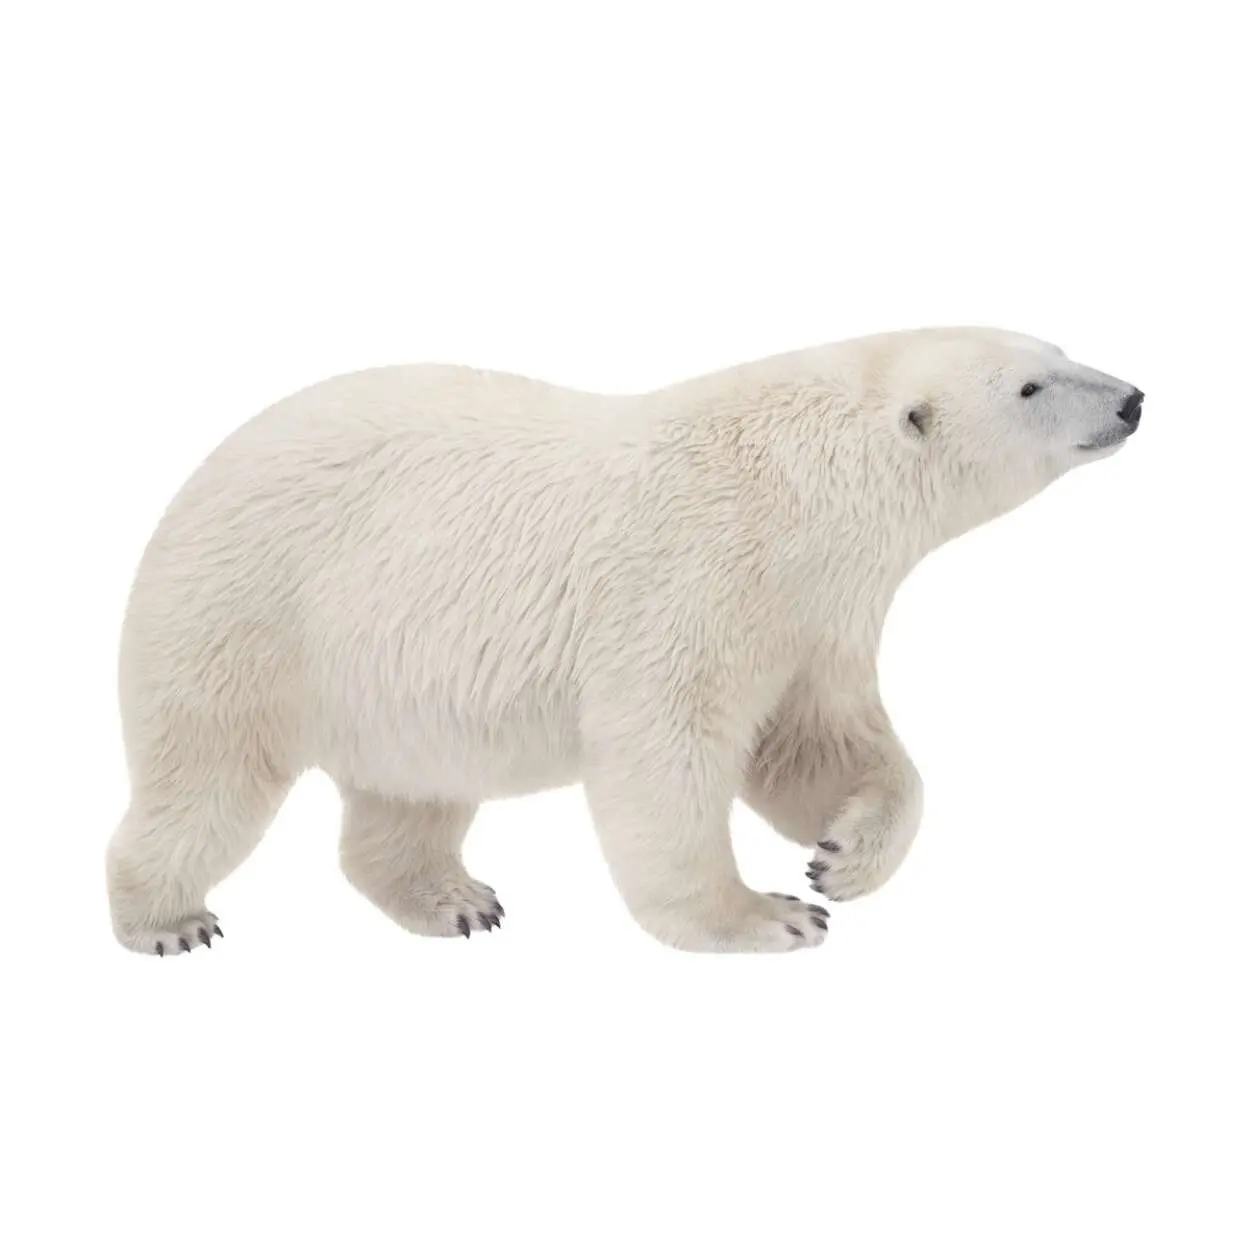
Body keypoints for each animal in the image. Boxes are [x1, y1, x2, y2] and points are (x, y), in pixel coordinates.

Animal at [106, 327, 1143, 955]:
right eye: (1031, 385)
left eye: (1054, 347)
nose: (1133, 397)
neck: (804, 485)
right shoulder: (697, 577)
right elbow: (665, 753)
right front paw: (769, 915)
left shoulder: (814, 612)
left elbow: (816, 742)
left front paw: (843, 856)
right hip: (249, 612)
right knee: (207, 779)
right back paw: (167, 919)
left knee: (412, 794)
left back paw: (456, 899)